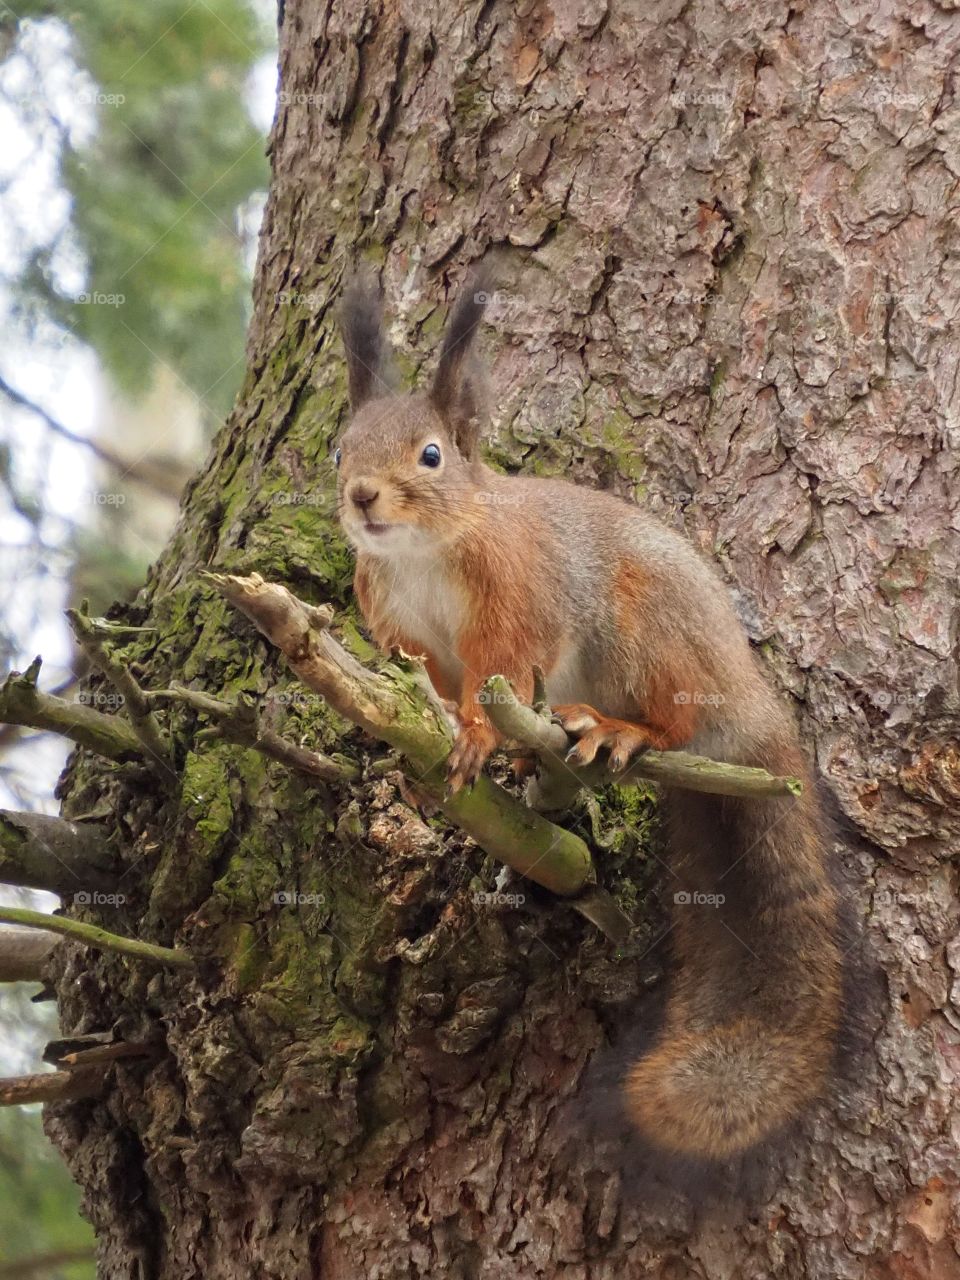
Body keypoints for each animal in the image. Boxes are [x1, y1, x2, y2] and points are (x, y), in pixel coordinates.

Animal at [334, 270, 842, 1161]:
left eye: (431, 455)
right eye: (340, 449)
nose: (362, 497)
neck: (424, 551)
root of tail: (757, 713)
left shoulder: (515, 604)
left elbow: (498, 673)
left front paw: (475, 738)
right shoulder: (400, 630)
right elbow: (423, 683)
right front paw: (433, 747)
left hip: (656, 639)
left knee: (680, 726)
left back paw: (617, 731)